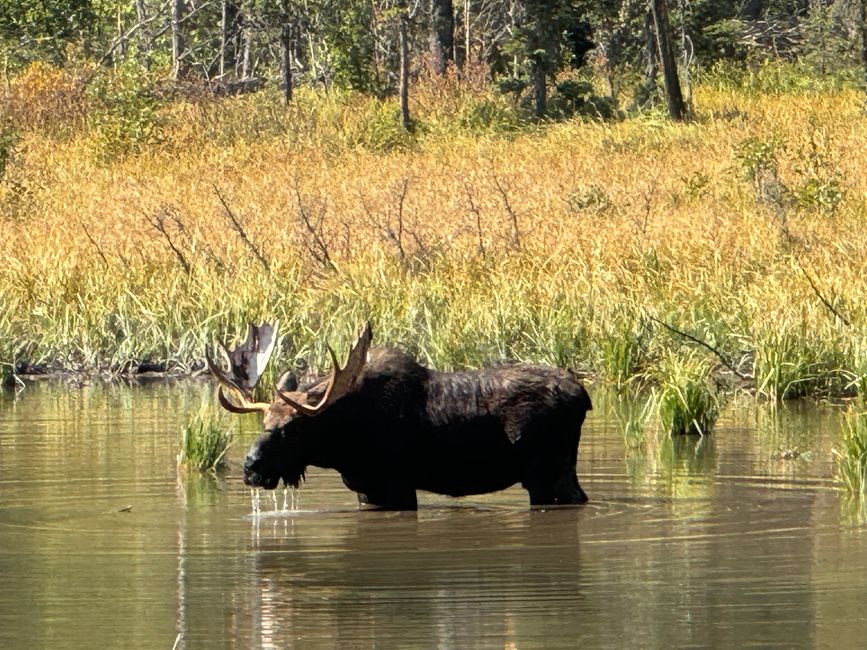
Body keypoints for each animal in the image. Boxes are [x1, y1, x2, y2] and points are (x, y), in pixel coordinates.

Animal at [207, 322, 592, 508]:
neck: (340, 446)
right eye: (265, 423)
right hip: (561, 470)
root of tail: (583, 395)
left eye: (293, 429)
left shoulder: (398, 484)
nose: (251, 468)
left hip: (543, 473)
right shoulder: (367, 489)